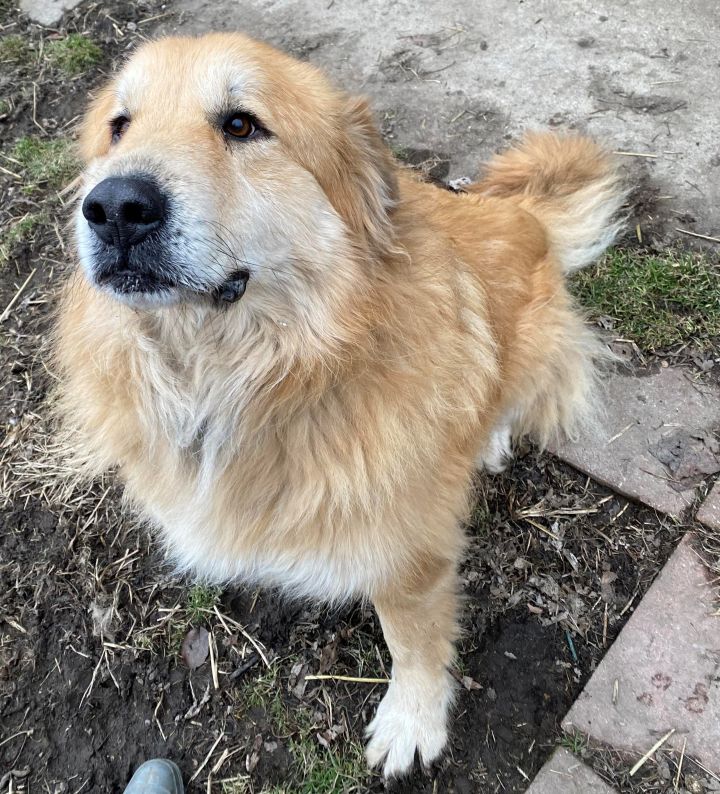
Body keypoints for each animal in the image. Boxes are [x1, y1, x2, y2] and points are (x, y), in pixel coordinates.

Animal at [54, 34, 624, 776]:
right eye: (118, 127)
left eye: (242, 124)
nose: (115, 207)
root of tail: (524, 213)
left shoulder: (408, 554)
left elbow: (412, 641)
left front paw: (413, 719)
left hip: (538, 341)